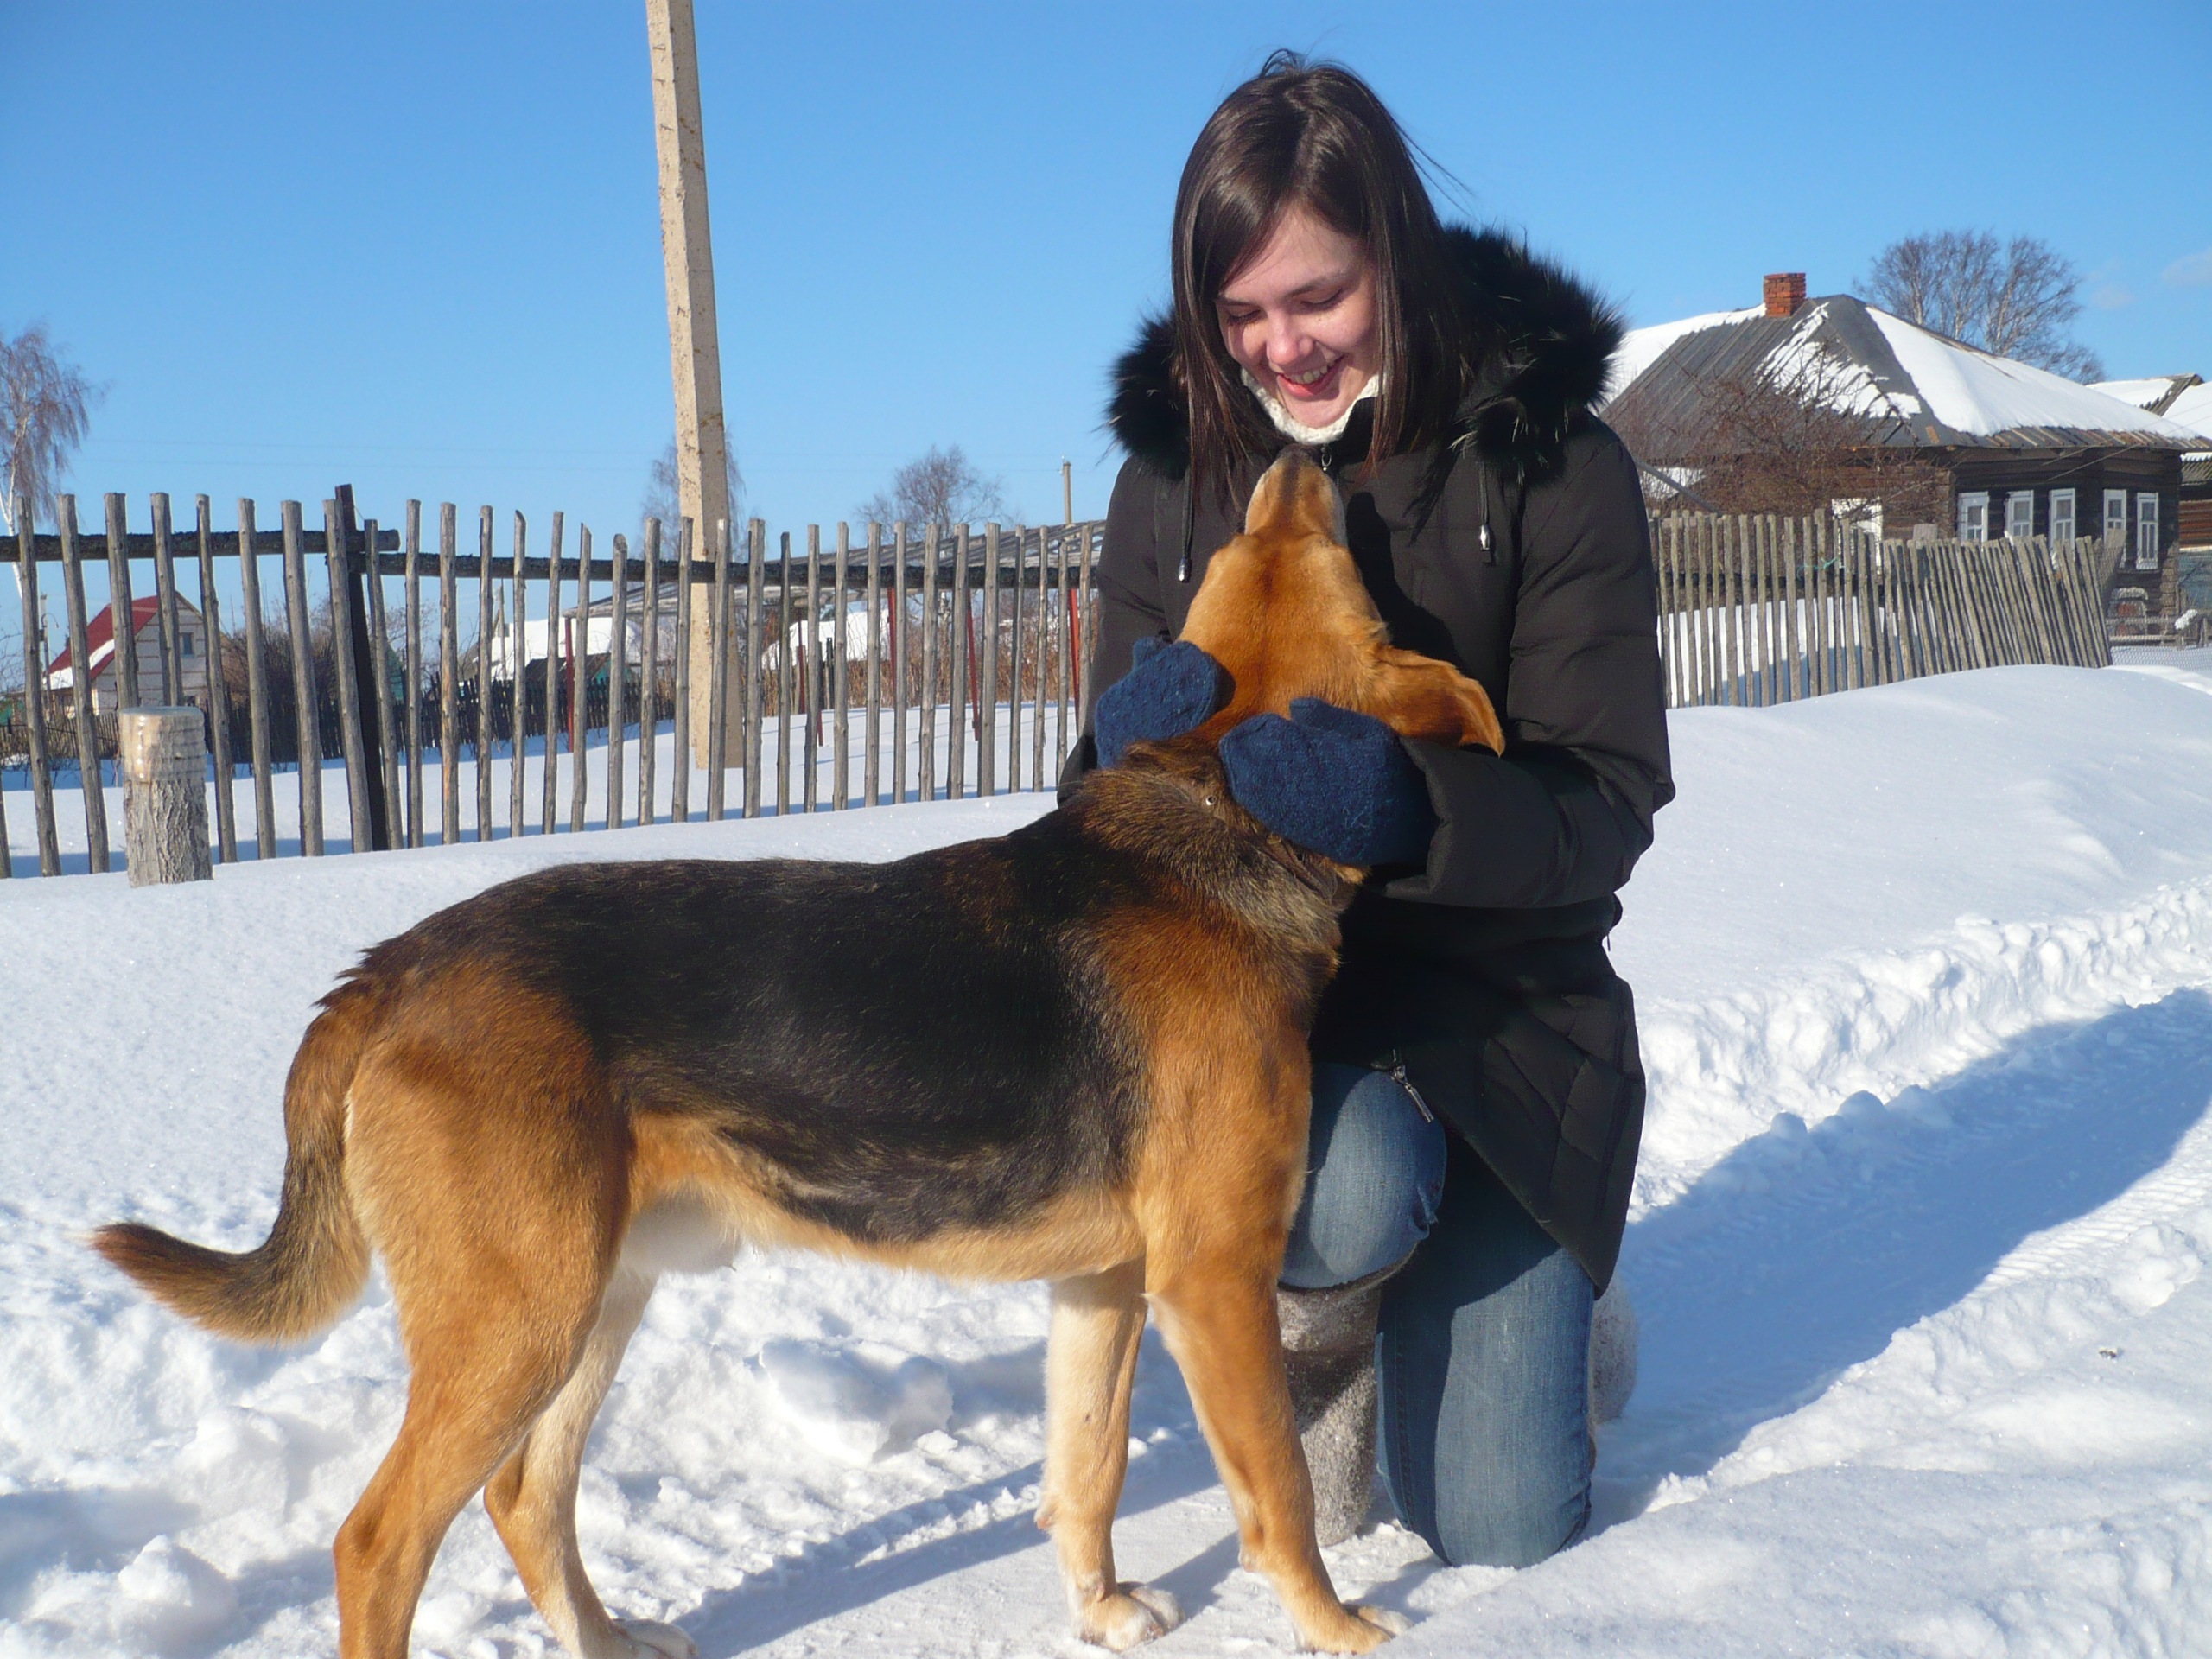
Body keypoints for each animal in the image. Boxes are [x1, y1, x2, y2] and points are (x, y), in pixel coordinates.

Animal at [93, 451, 1502, 1659]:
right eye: (1303, 555)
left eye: (1246, 557)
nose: (1297, 459)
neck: (1214, 807)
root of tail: (391, 965)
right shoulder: (1212, 1281)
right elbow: (1278, 1495)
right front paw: (1338, 1626)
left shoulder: (1103, 1287)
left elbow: (1086, 1471)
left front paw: (1099, 1612)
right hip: (520, 1322)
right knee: (380, 1542)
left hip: (594, 1298)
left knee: (525, 1500)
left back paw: (609, 1640)